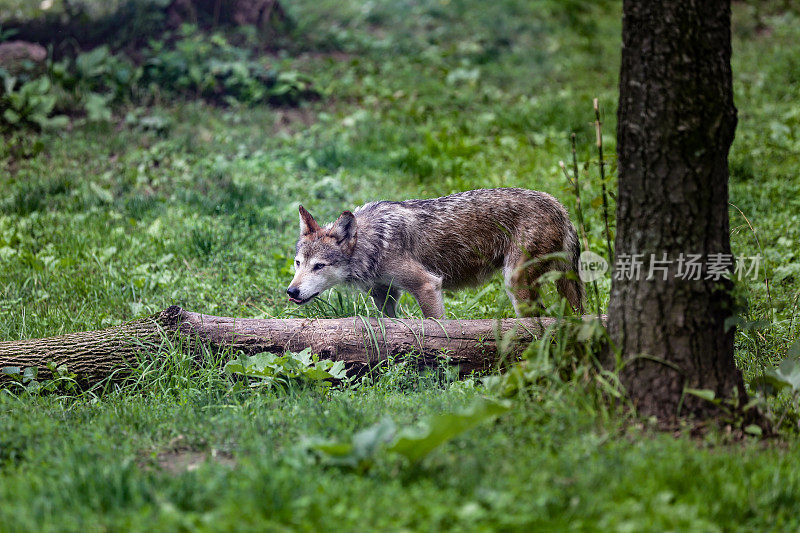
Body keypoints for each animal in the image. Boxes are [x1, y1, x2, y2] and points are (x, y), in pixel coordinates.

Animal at [286, 188, 580, 316]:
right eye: (298, 263)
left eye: (319, 266)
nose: (291, 291)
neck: (374, 242)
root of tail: (561, 208)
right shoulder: (384, 295)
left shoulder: (428, 285)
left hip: (515, 283)